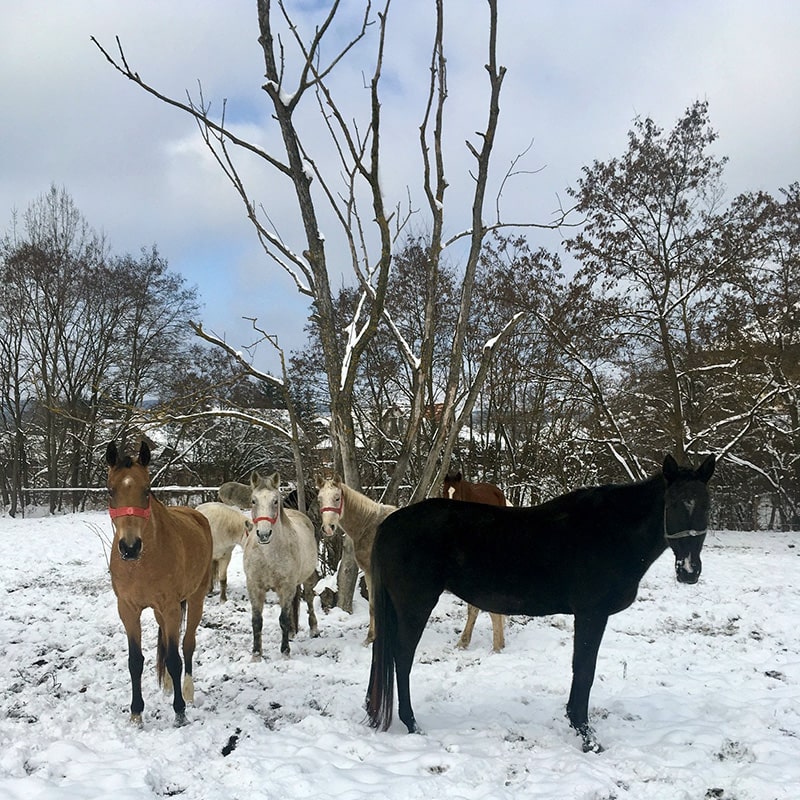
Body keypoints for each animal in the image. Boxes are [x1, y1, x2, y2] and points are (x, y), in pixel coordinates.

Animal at [106, 440, 212, 728]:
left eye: (147, 491)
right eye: (110, 491)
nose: (130, 547)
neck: (142, 563)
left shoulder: (172, 607)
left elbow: (176, 659)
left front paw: (180, 711)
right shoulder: (127, 609)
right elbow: (135, 661)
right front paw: (136, 713)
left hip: (195, 600)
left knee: (187, 645)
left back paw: (187, 691)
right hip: (158, 611)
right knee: (165, 639)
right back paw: (166, 684)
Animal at [244, 472, 318, 652]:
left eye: (275, 501)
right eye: (253, 500)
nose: (264, 534)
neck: (268, 555)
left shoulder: (286, 586)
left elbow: (283, 619)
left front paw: (285, 651)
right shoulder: (255, 587)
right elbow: (257, 621)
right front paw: (256, 653)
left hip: (305, 578)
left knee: (308, 597)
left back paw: (313, 629)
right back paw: (292, 631)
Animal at [316, 476, 396, 644]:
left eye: (337, 498)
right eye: (319, 499)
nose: (328, 528)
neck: (370, 526)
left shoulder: (372, 573)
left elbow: (373, 605)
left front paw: (371, 638)